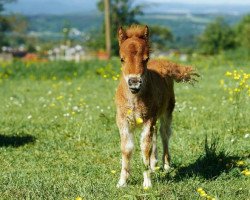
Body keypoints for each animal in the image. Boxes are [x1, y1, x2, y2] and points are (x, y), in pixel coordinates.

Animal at [115, 24, 199, 188]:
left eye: (146, 59)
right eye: (122, 59)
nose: (134, 83)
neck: (135, 98)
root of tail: (164, 63)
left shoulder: (149, 119)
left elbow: (145, 147)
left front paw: (147, 183)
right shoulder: (122, 120)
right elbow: (127, 148)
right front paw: (122, 182)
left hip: (167, 112)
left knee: (164, 134)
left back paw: (166, 165)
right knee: (154, 135)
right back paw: (154, 165)